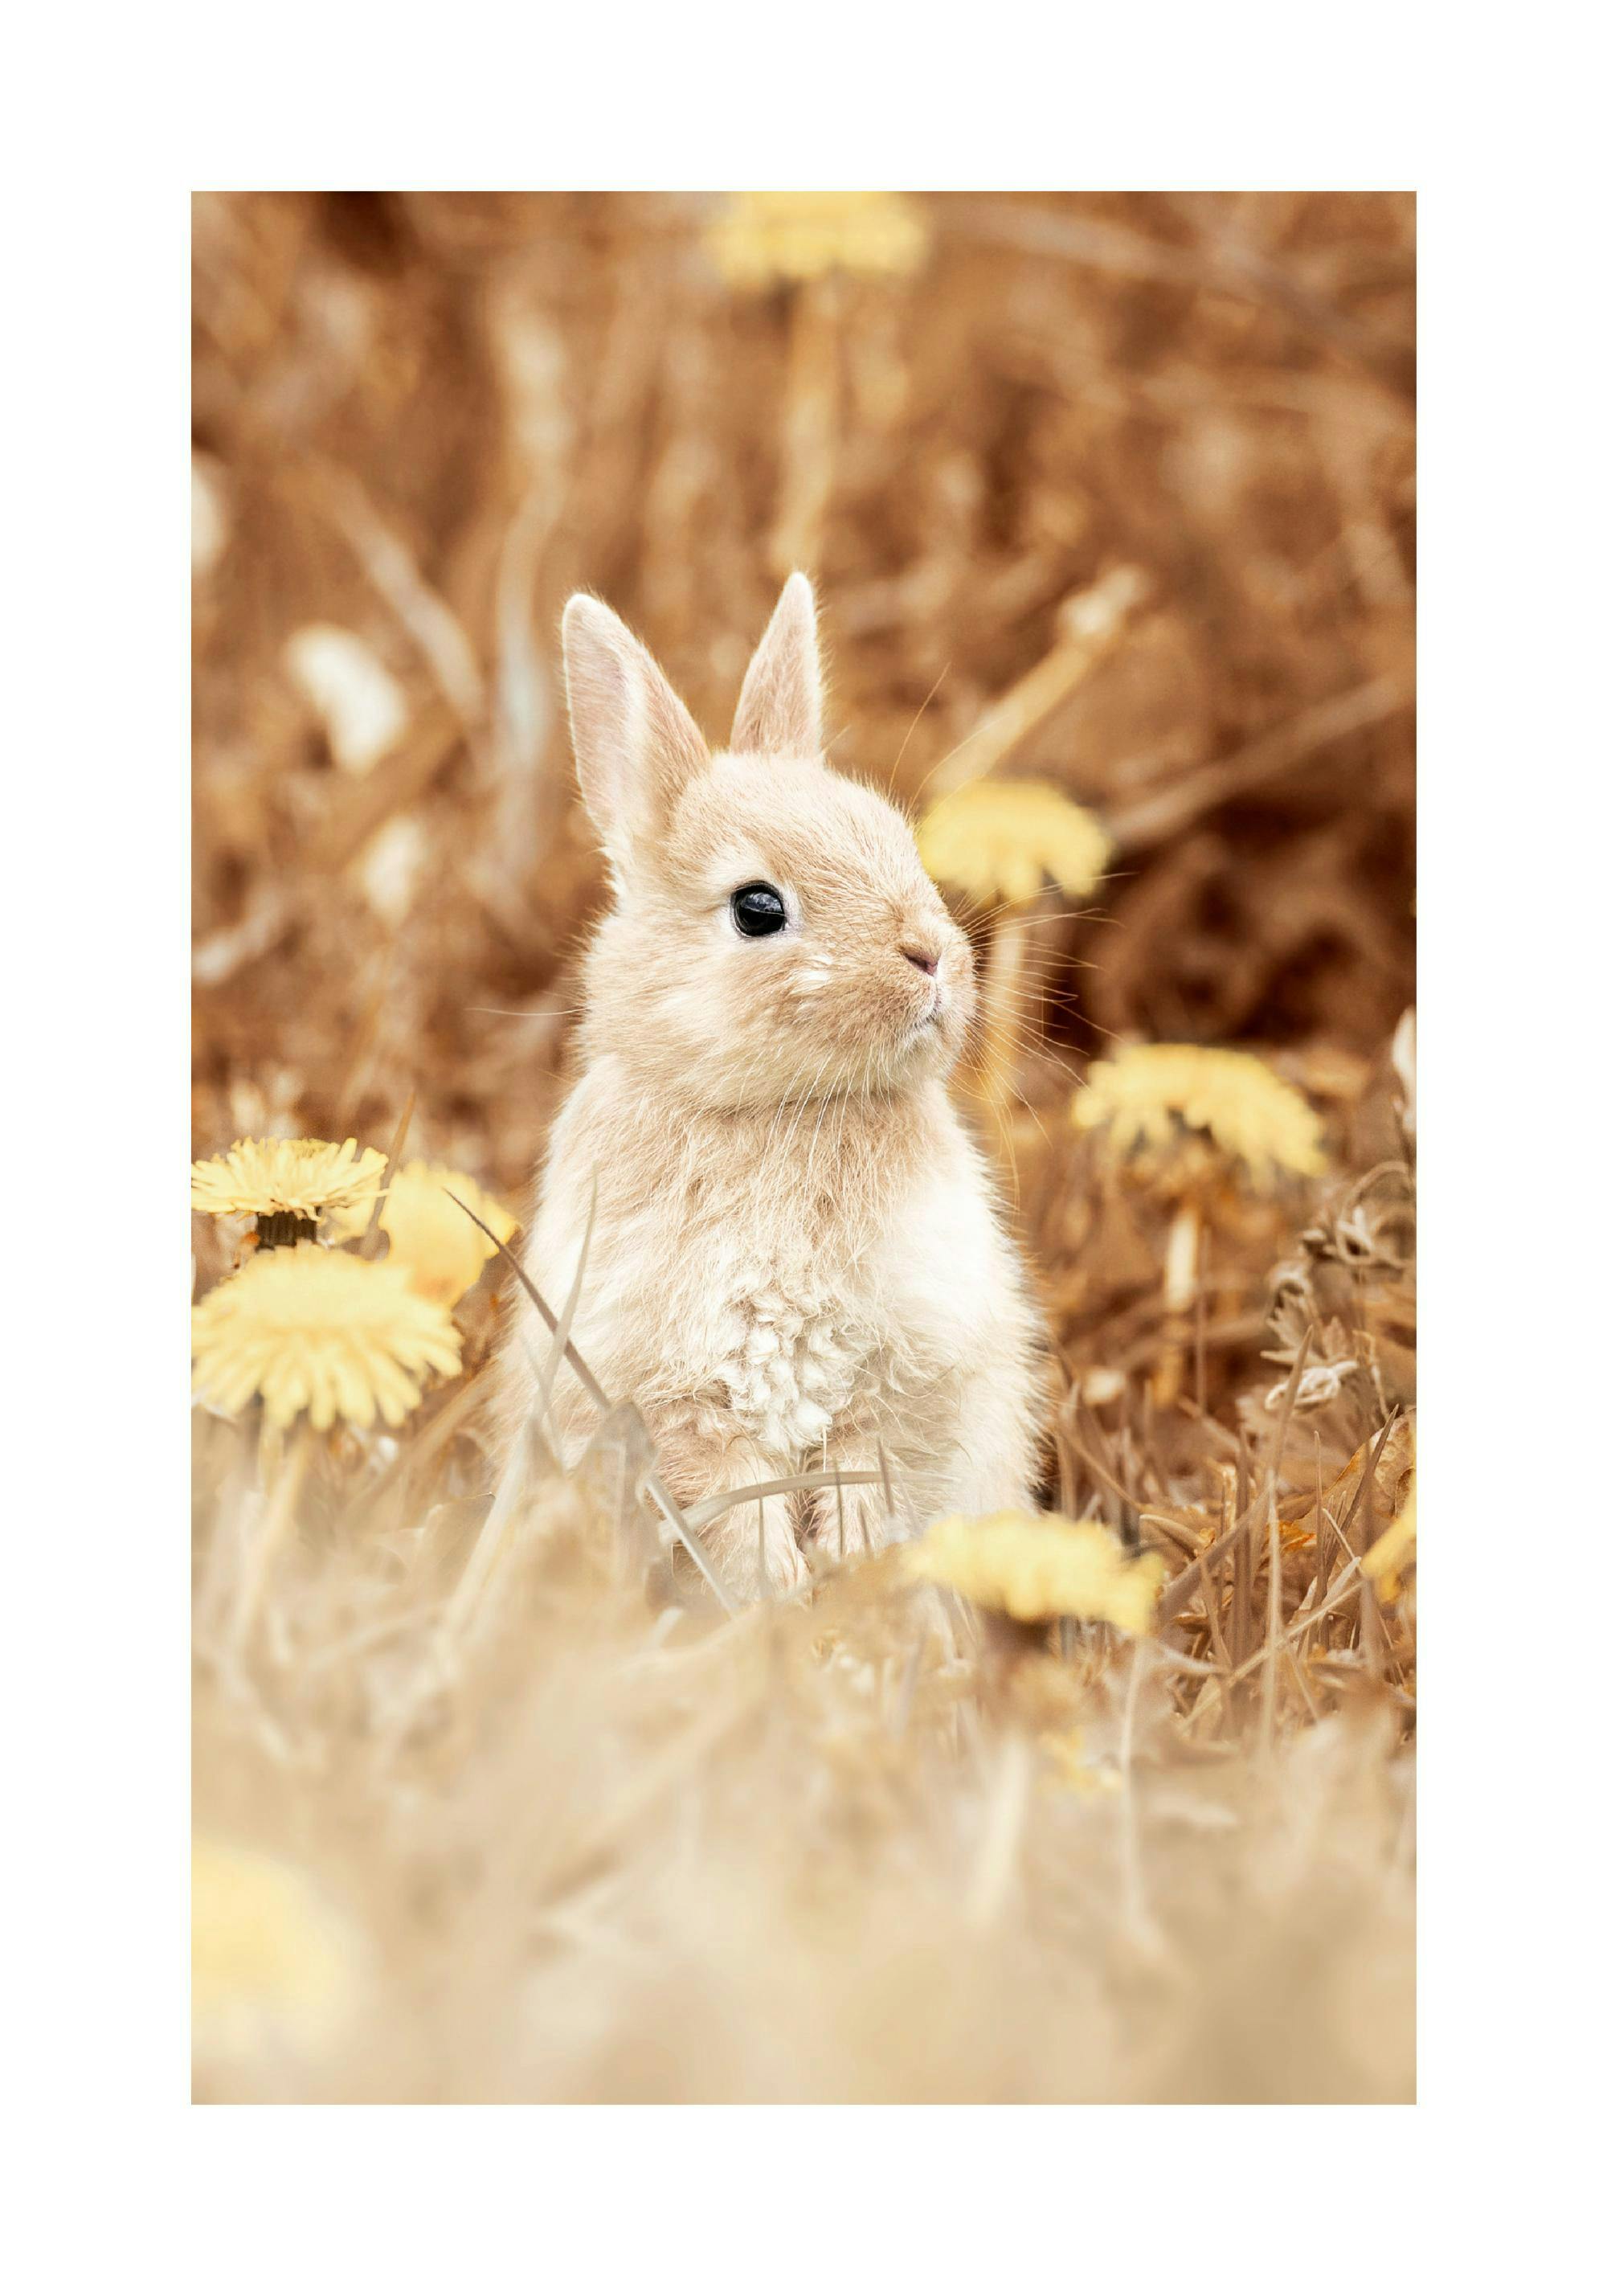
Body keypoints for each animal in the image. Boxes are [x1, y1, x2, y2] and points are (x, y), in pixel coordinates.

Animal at [498, 573, 1043, 1602]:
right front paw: (776, 1594)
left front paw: (848, 1571)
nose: (931, 957)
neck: (779, 1114)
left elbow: (869, 1468)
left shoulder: (900, 1373)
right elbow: (732, 1498)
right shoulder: (679, 1395)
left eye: (896, 840)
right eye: (757, 907)